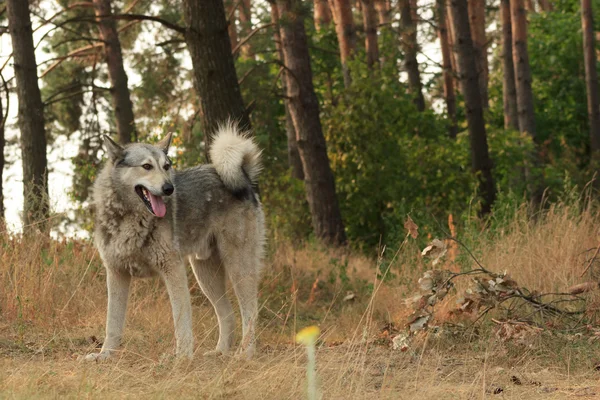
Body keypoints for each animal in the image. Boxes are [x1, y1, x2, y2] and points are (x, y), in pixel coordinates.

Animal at [85, 123, 264, 360]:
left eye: (166, 166)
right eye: (147, 166)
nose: (169, 188)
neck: (130, 218)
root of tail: (244, 176)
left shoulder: (173, 269)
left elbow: (181, 320)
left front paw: (182, 358)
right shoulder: (116, 274)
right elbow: (112, 324)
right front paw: (105, 355)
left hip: (238, 269)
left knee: (250, 312)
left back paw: (245, 354)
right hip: (205, 275)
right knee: (227, 313)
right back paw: (219, 352)